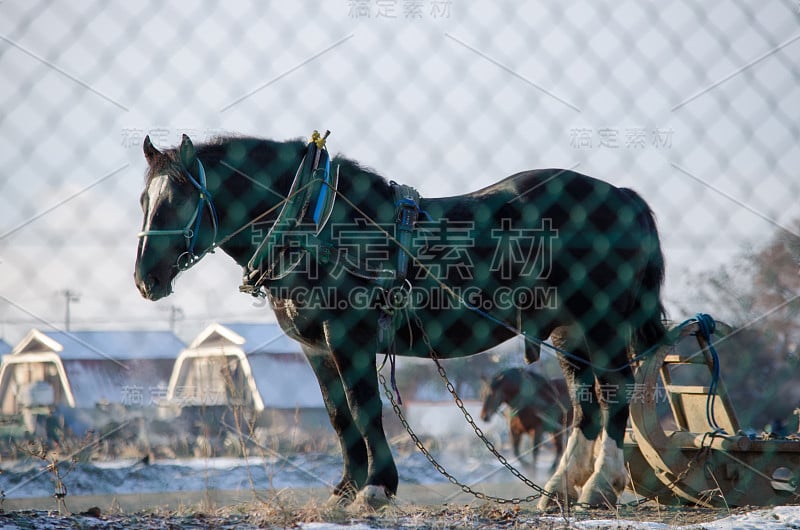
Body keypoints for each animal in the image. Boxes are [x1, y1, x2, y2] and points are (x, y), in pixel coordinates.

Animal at [134, 134, 664, 506]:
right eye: (145, 200)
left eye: (177, 201)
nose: (144, 279)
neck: (315, 223)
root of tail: (621, 196)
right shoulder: (317, 348)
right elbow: (339, 415)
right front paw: (345, 491)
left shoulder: (349, 337)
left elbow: (365, 407)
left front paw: (376, 489)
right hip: (570, 331)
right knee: (584, 404)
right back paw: (559, 490)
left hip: (602, 323)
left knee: (614, 392)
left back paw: (599, 486)